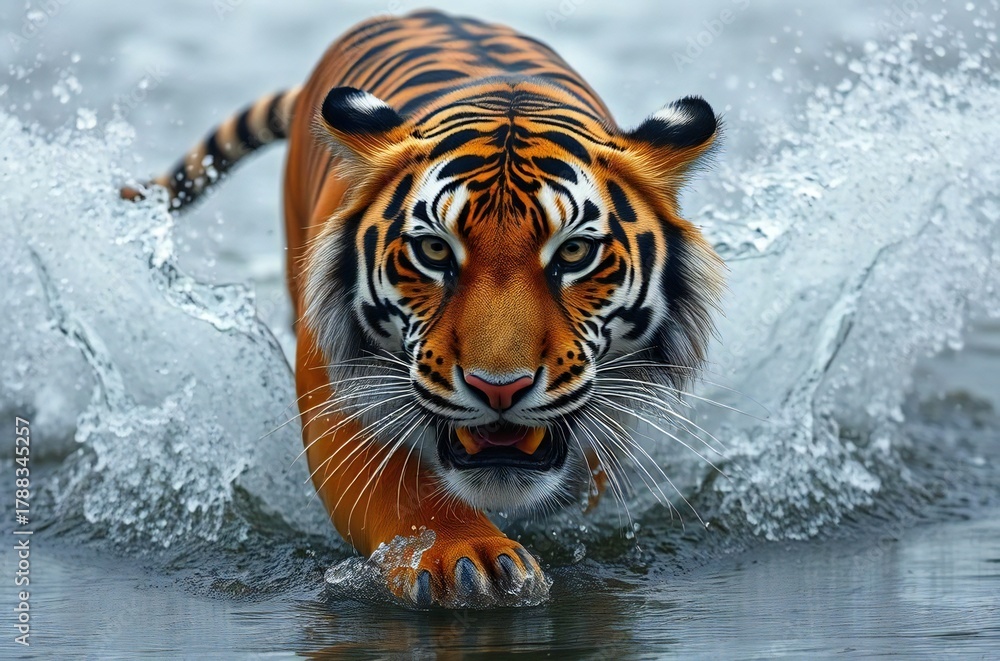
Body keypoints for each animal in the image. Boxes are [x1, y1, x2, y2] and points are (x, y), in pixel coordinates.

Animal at [122, 9, 724, 608]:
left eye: (574, 252)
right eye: (434, 251)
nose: (498, 389)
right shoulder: (336, 401)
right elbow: (406, 498)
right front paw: (468, 557)